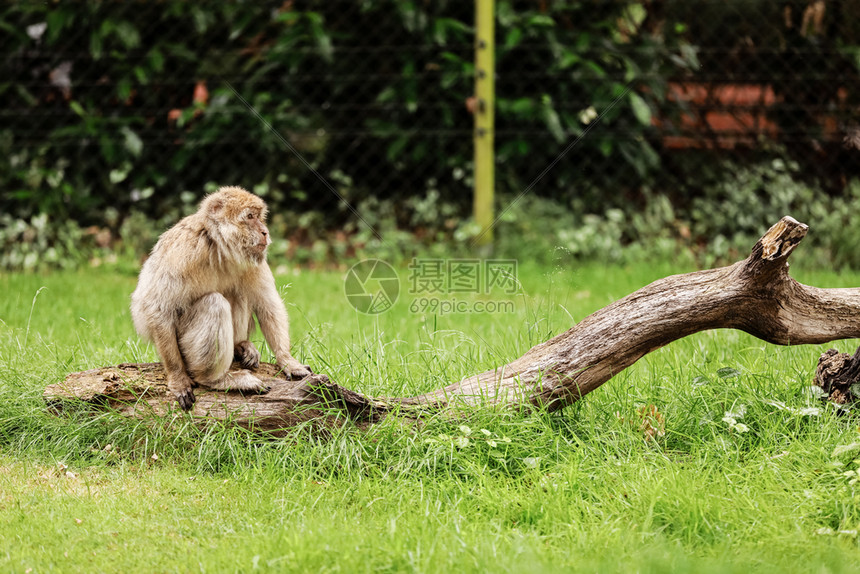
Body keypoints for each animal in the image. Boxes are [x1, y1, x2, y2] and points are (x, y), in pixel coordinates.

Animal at [129, 187, 310, 412]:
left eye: (259, 217)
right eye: (250, 217)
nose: (265, 232)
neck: (217, 247)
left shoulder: (254, 259)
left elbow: (268, 305)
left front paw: (287, 360)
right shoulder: (183, 250)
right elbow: (158, 309)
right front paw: (177, 378)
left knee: (238, 293)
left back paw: (239, 346)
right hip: (185, 349)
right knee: (214, 303)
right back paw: (215, 379)